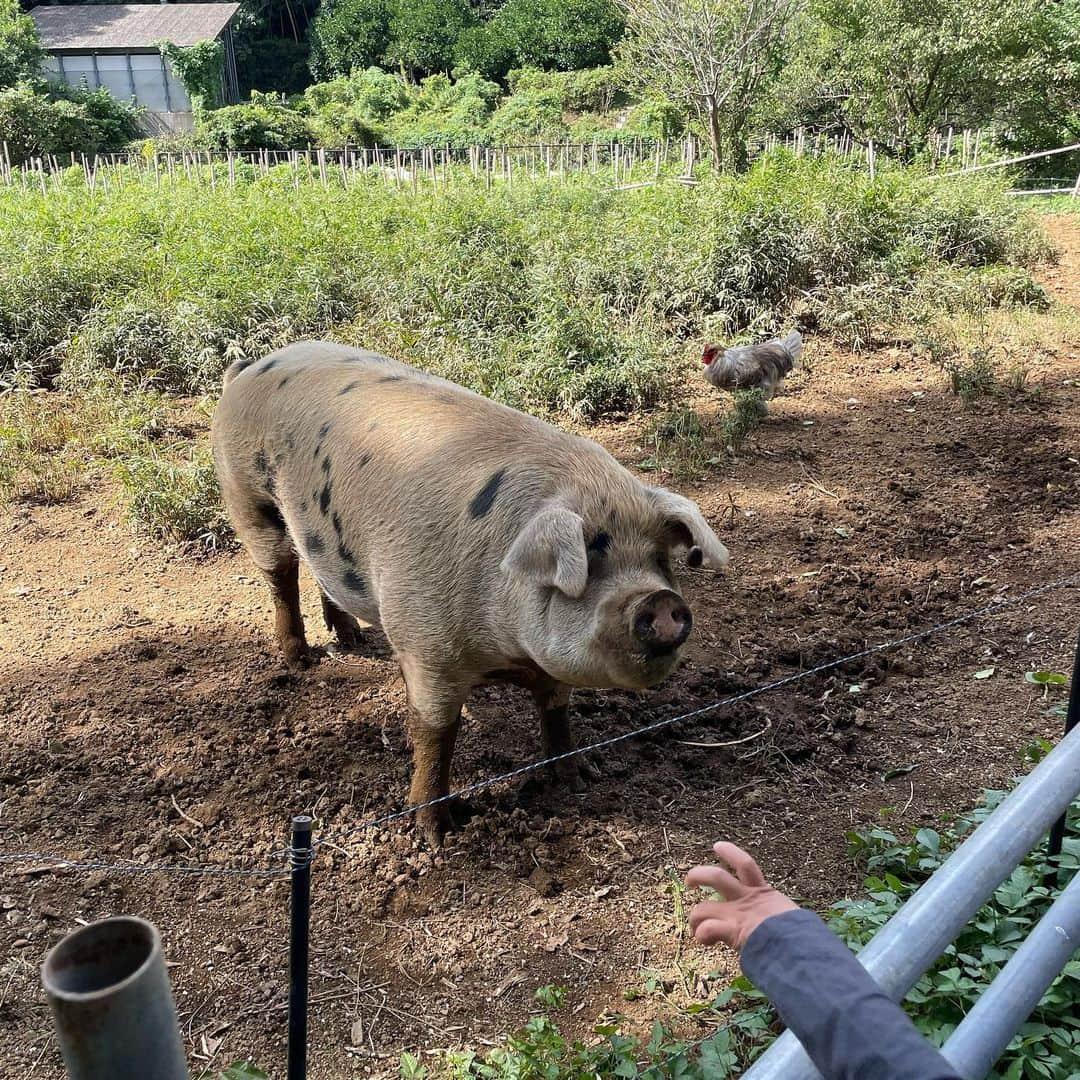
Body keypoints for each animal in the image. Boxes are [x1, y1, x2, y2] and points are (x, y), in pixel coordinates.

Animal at [208, 339, 734, 842]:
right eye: (590, 559)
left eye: (660, 559)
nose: (660, 601)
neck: (504, 649)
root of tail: (253, 366)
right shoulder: (425, 644)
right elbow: (436, 735)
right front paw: (435, 834)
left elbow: (556, 711)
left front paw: (579, 778)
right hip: (248, 498)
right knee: (281, 574)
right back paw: (300, 661)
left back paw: (352, 638)